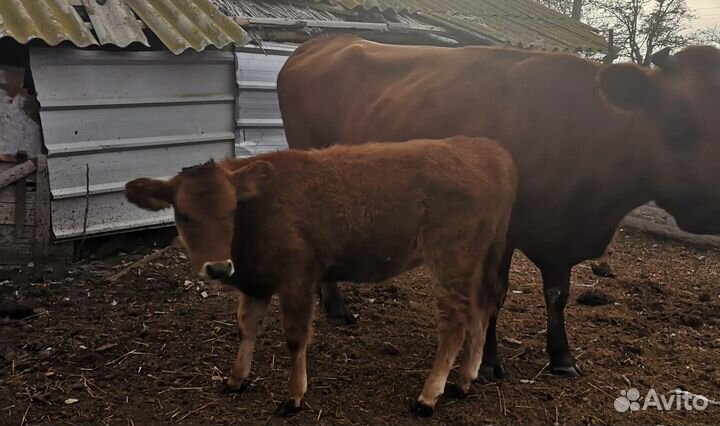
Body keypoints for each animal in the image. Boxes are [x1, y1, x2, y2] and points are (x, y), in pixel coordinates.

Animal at [124, 136, 517, 416]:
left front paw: (293, 397)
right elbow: (246, 327)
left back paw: (428, 395)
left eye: (231, 209)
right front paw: (236, 379)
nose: (219, 267)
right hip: (477, 262)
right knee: (480, 312)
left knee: (455, 322)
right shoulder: (255, 283)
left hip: (452, 260)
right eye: (183, 215)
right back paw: (464, 381)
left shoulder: (298, 278)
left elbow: (295, 337)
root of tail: (487, 150)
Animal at [277, 36, 720, 379]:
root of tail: (318, 43)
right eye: (677, 120)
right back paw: (337, 308)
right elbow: (495, 293)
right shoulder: (500, 231)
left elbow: (557, 294)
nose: (712, 209)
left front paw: (562, 357)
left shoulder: (559, 236)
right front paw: (488, 363)